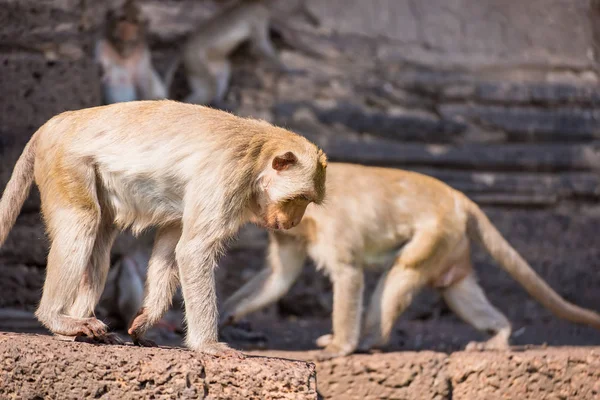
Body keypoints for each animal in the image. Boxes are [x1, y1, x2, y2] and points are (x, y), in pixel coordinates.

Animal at [0, 99, 328, 356]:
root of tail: (55, 123)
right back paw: (57, 319)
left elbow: (172, 245)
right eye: (299, 198)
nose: (294, 221)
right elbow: (194, 251)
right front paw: (208, 345)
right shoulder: (226, 177)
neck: (258, 154)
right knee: (83, 220)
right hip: (67, 163)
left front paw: (144, 321)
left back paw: (74, 332)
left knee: (101, 236)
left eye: (308, 201)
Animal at [220, 162, 600, 360]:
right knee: (455, 290)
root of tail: (458, 197)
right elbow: (278, 278)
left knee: (401, 274)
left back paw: (370, 340)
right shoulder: (293, 237)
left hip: (437, 233)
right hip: (452, 244)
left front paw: (341, 347)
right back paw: (499, 335)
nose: (273, 222)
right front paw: (225, 315)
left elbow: (348, 274)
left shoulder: (329, 226)